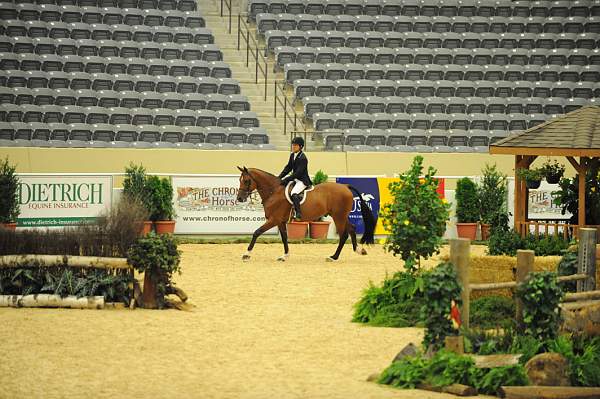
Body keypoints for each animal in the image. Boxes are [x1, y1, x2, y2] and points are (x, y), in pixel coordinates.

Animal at [236, 166, 372, 262]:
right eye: (239, 180)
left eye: (246, 181)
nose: (239, 198)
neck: (274, 191)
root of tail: (345, 186)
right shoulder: (280, 221)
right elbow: (284, 238)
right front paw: (285, 256)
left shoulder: (274, 220)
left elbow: (256, 232)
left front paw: (246, 255)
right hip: (341, 216)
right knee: (351, 228)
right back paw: (359, 250)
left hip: (339, 216)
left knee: (344, 235)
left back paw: (333, 257)